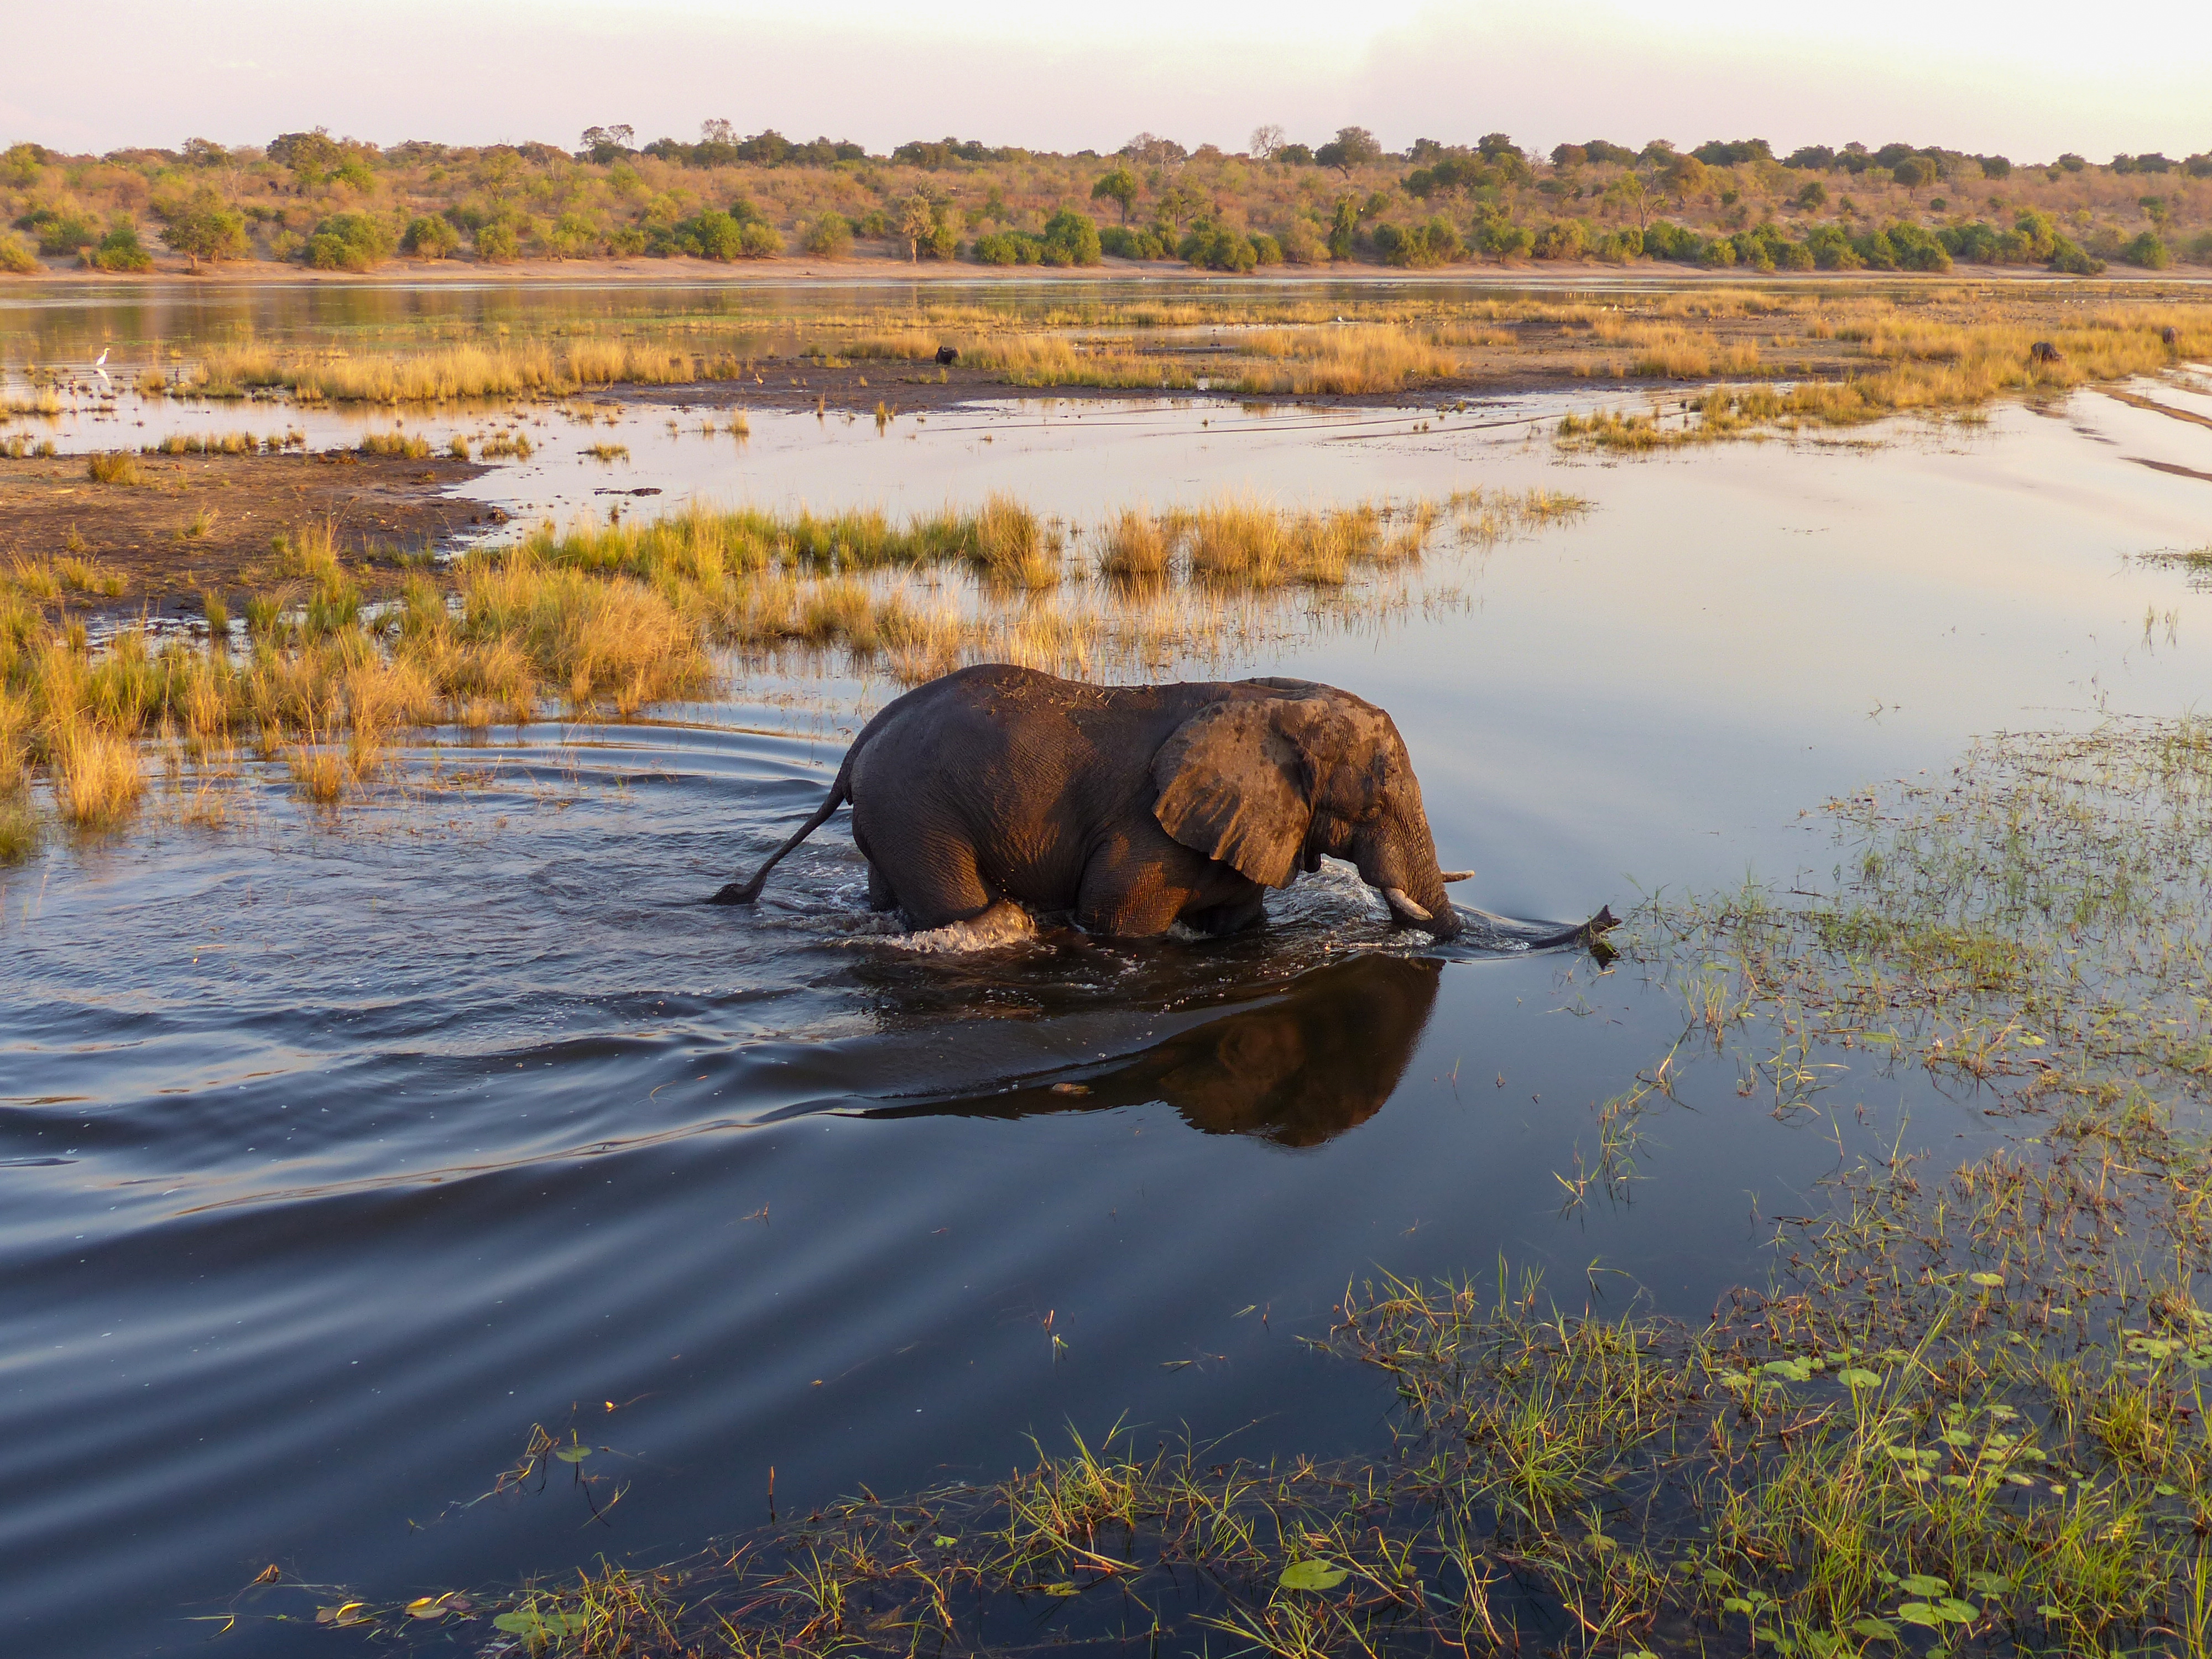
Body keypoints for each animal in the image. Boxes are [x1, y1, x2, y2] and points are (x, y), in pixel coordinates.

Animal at [717, 668, 1478, 947]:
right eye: (1379, 795)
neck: (1273, 700)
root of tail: (858, 746)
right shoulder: (1149, 838)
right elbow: (1116, 923)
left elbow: (1239, 924)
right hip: (918, 815)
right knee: (953, 905)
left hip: (891, 817)